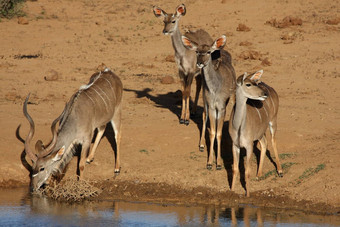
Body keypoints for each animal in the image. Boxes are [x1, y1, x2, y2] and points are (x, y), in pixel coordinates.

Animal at [182, 35, 235, 170]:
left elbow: (219, 133)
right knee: (204, 116)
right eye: (196, 51)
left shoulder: (221, 107)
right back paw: (201, 145)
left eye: (208, 52)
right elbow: (212, 132)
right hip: (205, 99)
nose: (200, 63)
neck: (215, 88)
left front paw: (219, 164)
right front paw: (210, 163)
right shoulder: (211, 105)